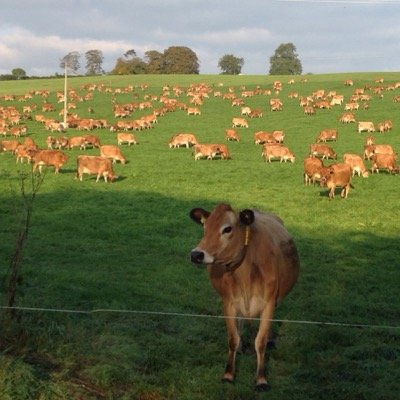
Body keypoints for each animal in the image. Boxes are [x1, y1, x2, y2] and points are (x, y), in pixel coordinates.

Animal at [189, 203, 298, 388]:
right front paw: (228, 374)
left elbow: (260, 341)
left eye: (227, 229)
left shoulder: (269, 304)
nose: (196, 254)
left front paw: (261, 378)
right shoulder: (228, 303)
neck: (246, 274)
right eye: (205, 227)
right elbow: (233, 338)